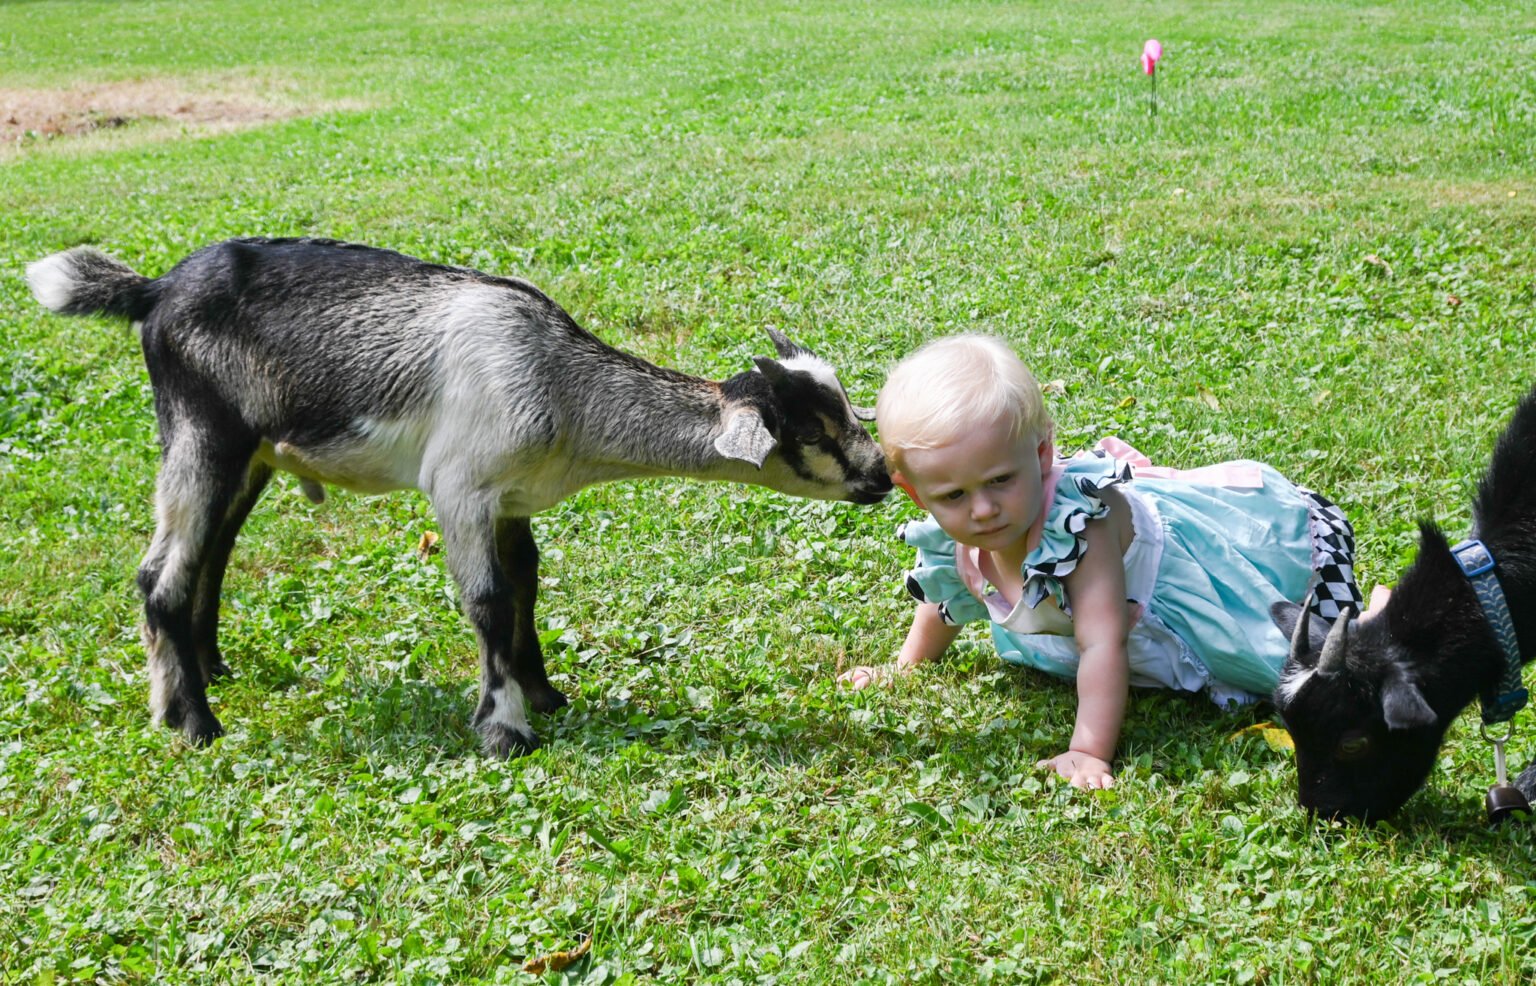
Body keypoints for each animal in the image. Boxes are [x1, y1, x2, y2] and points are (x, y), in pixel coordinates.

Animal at [26, 237, 892, 757]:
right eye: (813, 429)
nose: (882, 475)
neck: (557, 384)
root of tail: (156, 289)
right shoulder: (460, 489)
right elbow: (487, 601)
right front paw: (504, 727)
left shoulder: (511, 498)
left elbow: (527, 587)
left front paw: (543, 692)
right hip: (201, 431)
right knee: (161, 573)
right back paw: (194, 721)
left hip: (253, 452)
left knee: (213, 551)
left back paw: (204, 673)